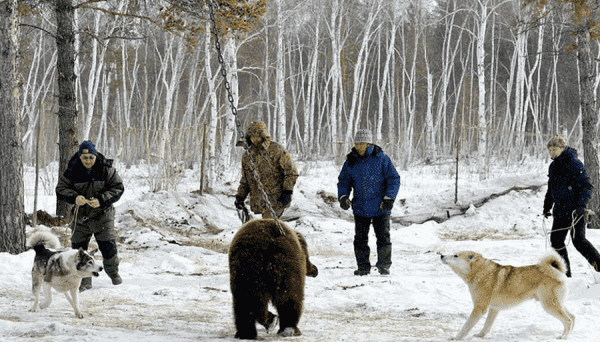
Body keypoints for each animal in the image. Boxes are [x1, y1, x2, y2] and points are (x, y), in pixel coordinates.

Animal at [440, 250, 576, 340]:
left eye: (455, 255)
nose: (441, 255)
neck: (481, 272)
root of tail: (557, 271)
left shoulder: (479, 308)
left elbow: (466, 326)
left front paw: (456, 338)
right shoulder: (493, 309)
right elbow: (487, 325)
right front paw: (480, 335)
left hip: (549, 305)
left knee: (568, 320)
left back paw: (563, 337)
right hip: (556, 303)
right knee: (572, 317)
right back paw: (569, 335)